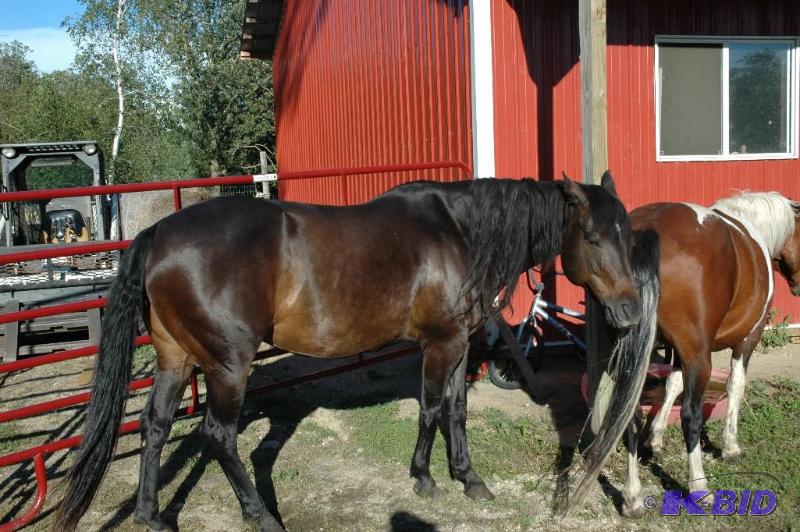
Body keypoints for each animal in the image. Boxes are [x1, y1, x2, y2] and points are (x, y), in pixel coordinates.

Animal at [54, 173, 649, 531]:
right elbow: (431, 409)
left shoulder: (461, 343)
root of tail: (157, 233)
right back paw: (260, 515)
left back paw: (151, 514)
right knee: (218, 435)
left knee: (154, 426)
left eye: (627, 235)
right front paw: (424, 478)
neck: (460, 234)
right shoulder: (441, 343)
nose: (629, 312)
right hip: (227, 366)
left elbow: (457, 412)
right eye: (593, 237)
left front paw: (470, 479)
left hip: (176, 358)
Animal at [597, 191, 800, 517]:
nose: (798, 288)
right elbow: (735, 386)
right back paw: (699, 488)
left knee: (629, 415)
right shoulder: (746, 339)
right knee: (691, 416)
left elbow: (672, 385)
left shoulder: (676, 349)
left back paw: (632, 497)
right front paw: (730, 447)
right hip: (700, 357)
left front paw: (655, 439)